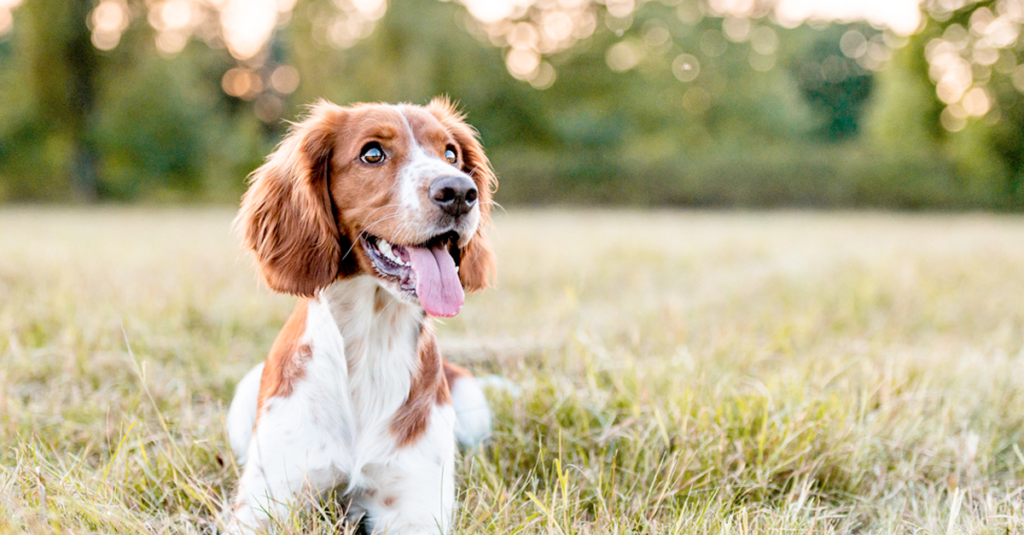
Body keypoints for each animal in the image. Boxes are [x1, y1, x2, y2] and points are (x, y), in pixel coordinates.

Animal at [223, 97, 495, 528]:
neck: (372, 340)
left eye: (451, 154)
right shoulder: (265, 504)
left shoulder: (414, 508)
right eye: (372, 154)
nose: (459, 192)